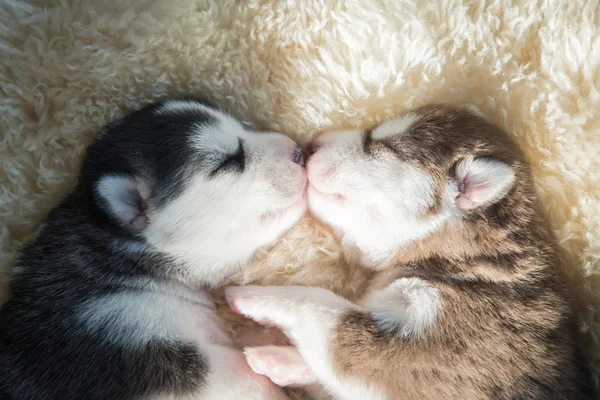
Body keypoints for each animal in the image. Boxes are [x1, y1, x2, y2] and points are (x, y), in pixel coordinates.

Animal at [226, 104, 596, 398]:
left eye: (382, 145)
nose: (310, 144)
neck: (463, 259)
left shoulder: (411, 343)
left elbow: (317, 305)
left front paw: (252, 296)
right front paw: (281, 360)